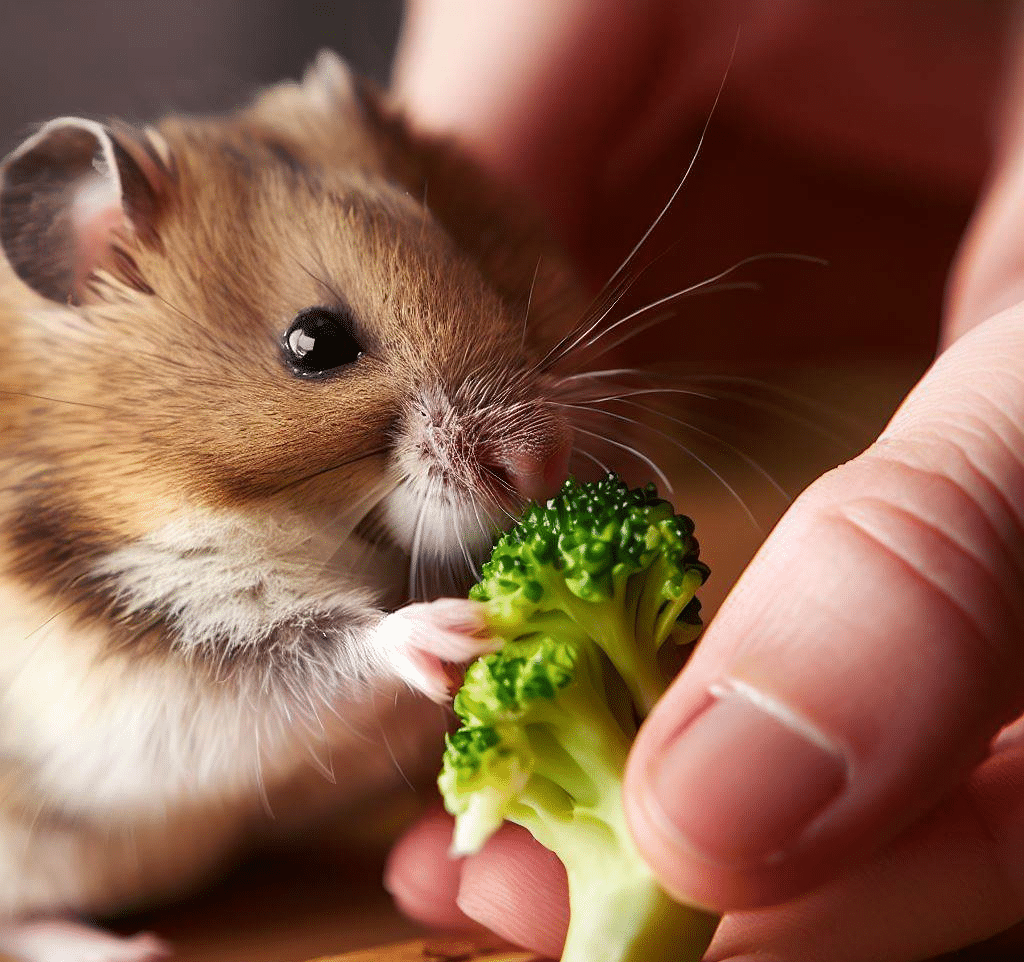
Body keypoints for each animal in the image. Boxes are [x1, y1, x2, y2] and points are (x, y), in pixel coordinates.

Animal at [0, 54, 593, 962]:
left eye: (476, 263)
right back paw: (130, 948)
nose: (545, 462)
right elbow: (320, 651)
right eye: (315, 343)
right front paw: (456, 631)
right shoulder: (160, 652)